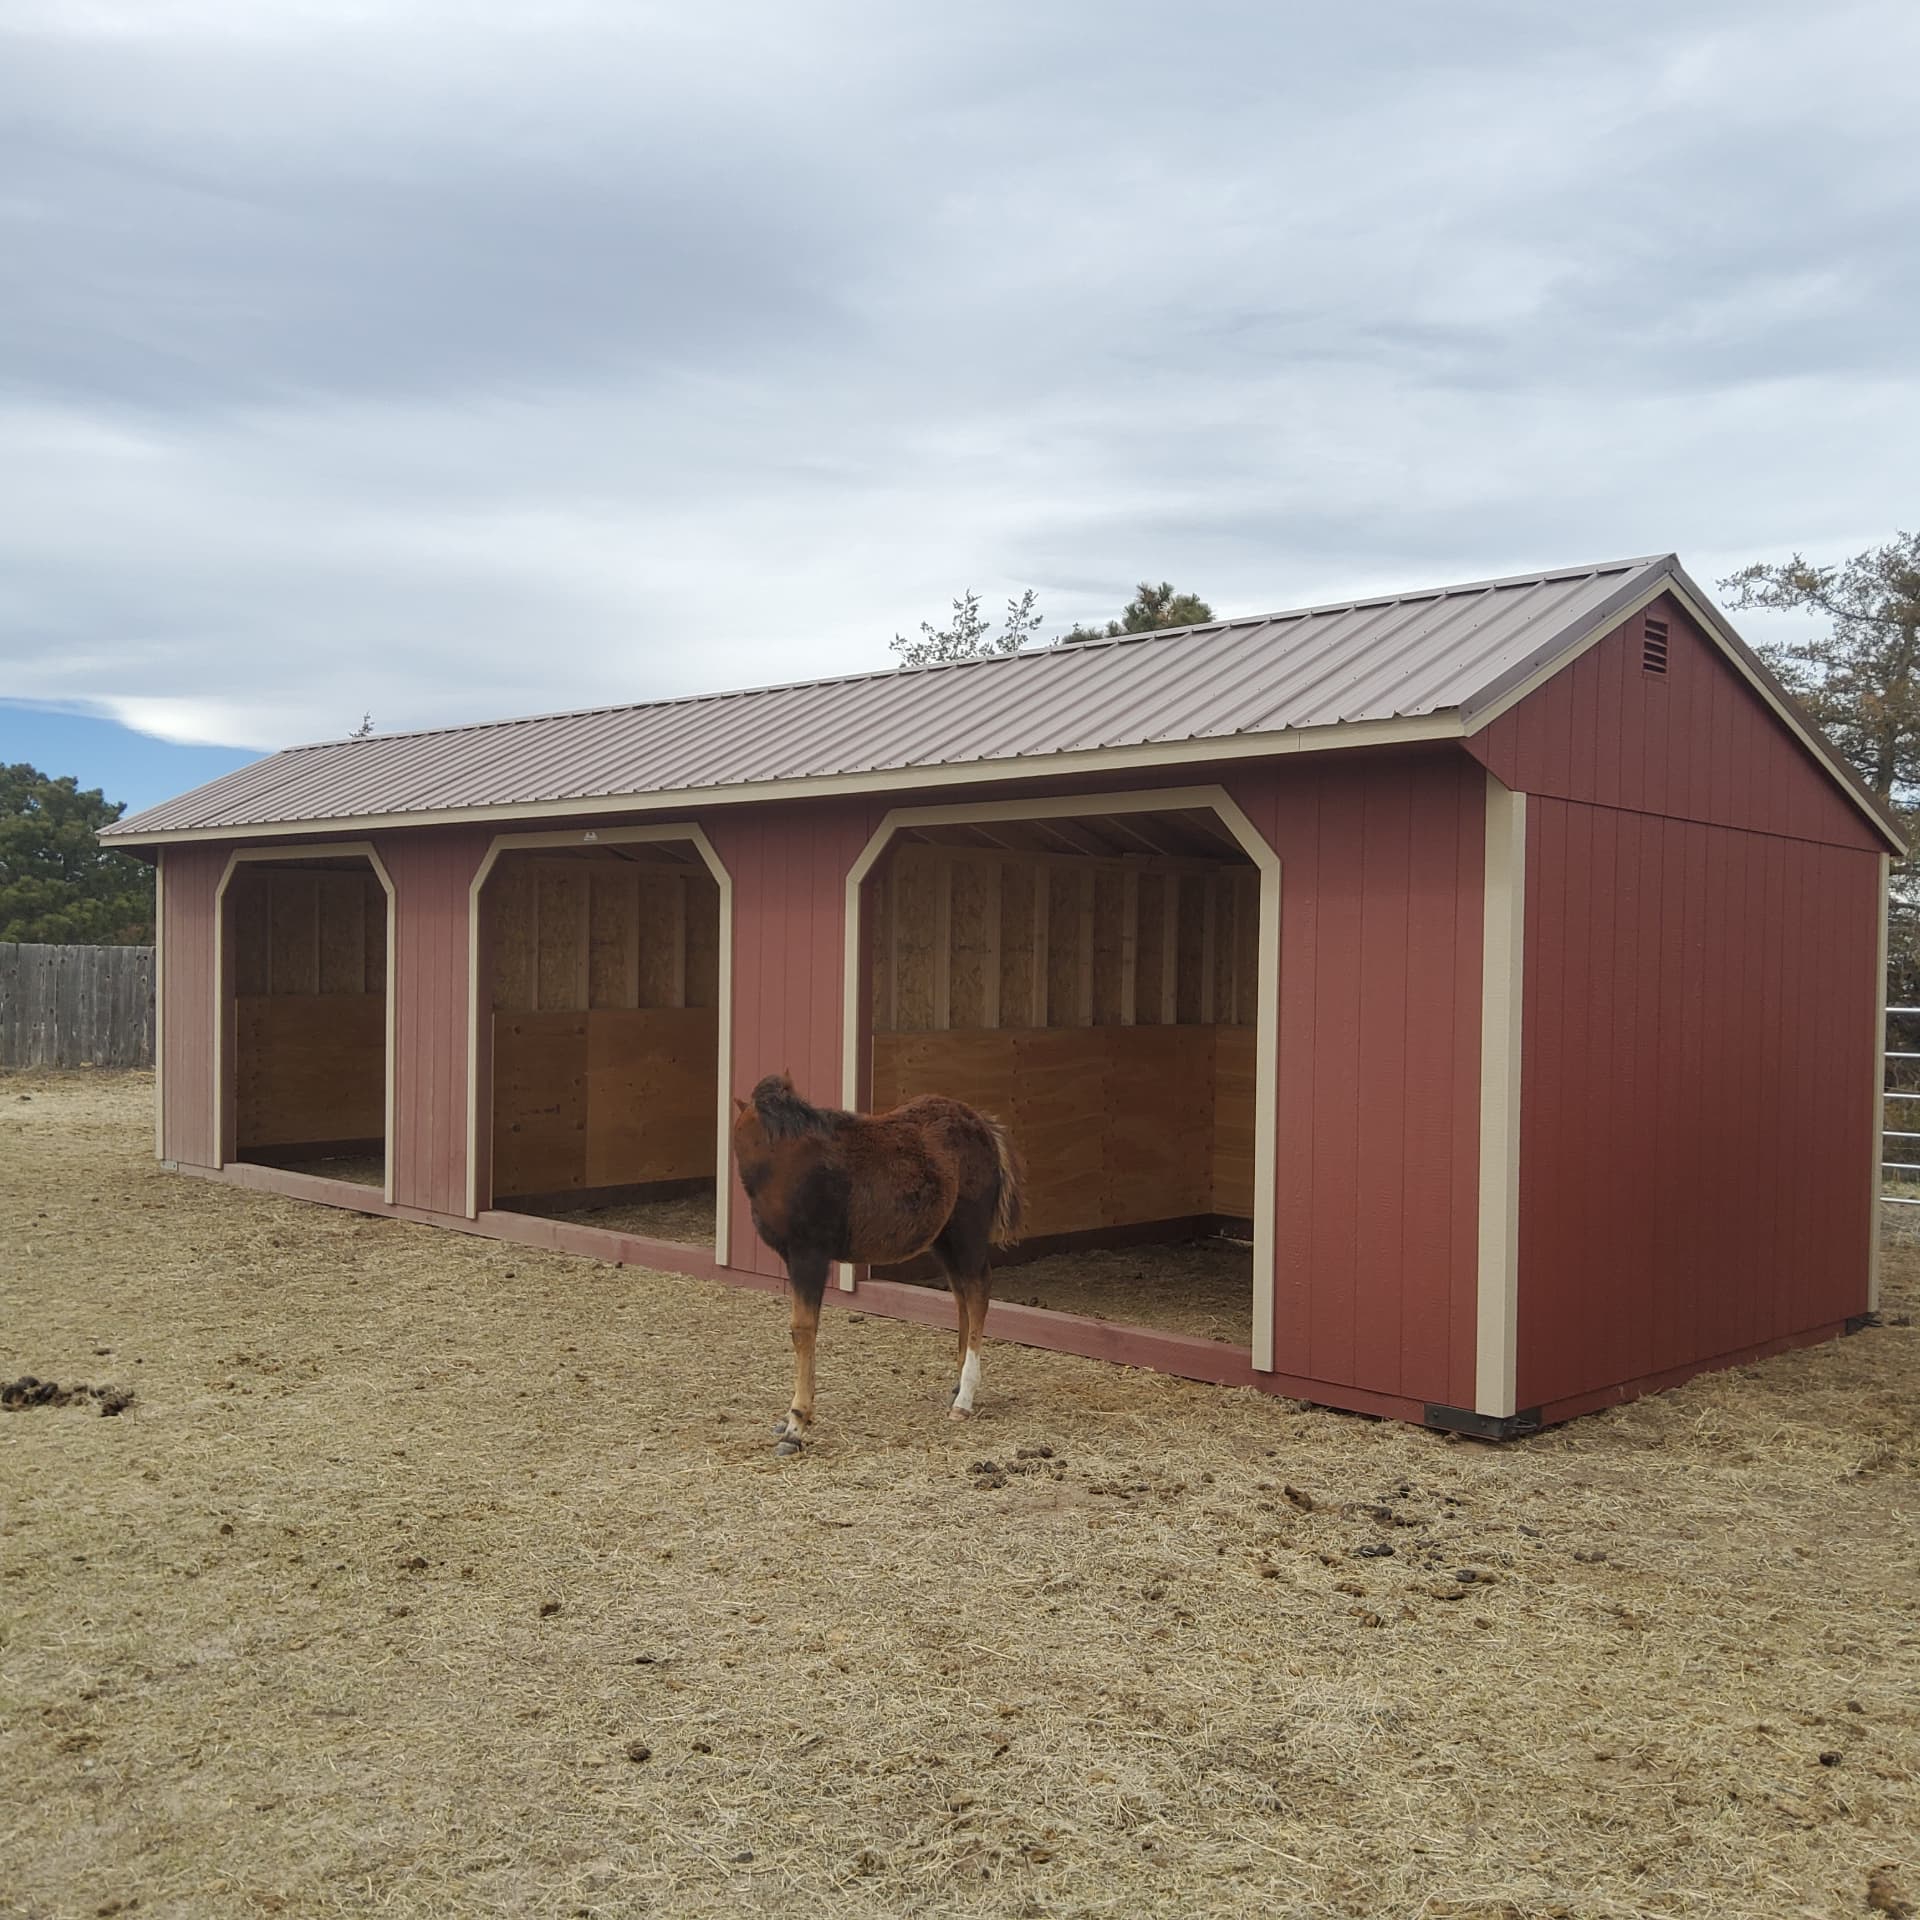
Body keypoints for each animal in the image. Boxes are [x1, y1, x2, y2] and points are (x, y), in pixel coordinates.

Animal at [730, 1072, 1025, 1456]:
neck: (781, 1161)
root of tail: (983, 1125)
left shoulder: (809, 1255)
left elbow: (803, 1330)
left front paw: (796, 1425)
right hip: (944, 1239)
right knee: (963, 1295)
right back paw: (957, 1388)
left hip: (967, 1233)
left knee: (977, 1293)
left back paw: (965, 1399)